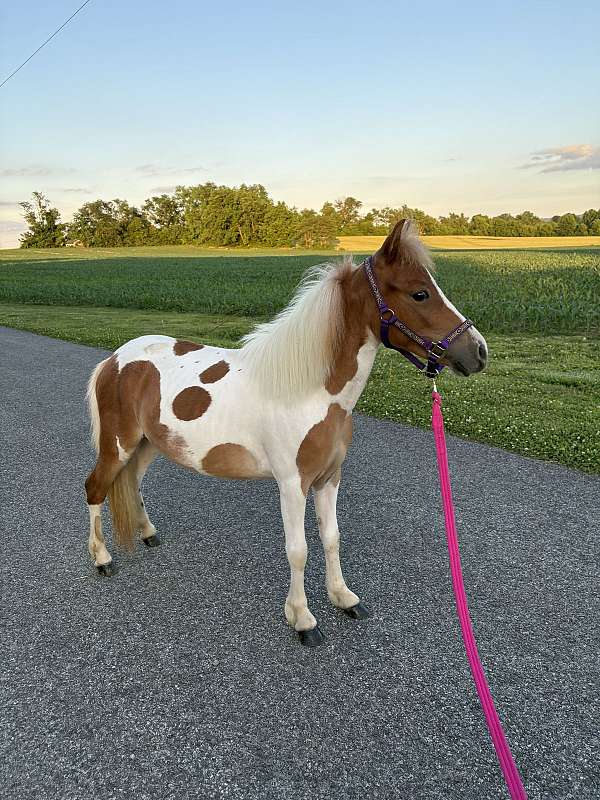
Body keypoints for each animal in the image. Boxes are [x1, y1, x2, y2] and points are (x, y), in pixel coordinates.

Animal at [84, 219, 487, 646]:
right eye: (420, 292)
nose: (478, 352)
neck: (311, 391)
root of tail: (114, 359)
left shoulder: (329, 478)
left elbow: (331, 537)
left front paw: (343, 597)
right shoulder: (293, 483)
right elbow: (298, 549)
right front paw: (302, 619)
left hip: (147, 445)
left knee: (133, 483)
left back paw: (147, 533)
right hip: (118, 444)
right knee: (96, 487)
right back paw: (102, 559)